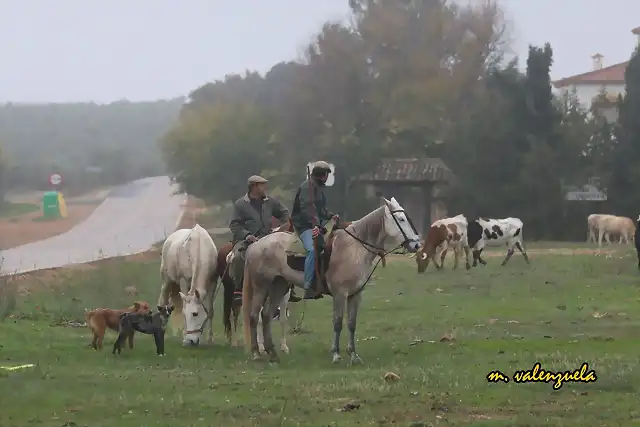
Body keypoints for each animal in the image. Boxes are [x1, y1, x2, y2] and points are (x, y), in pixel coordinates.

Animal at [240, 197, 420, 364]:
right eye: (401, 219)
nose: (417, 245)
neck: (353, 248)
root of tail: (255, 244)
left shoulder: (356, 294)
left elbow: (351, 323)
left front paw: (353, 355)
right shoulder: (340, 294)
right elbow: (338, 323)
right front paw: (336, 354)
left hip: (279, 286)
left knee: (266, 315)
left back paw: (272, 353)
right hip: (261, 287)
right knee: (254, 316)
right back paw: (257, 353)